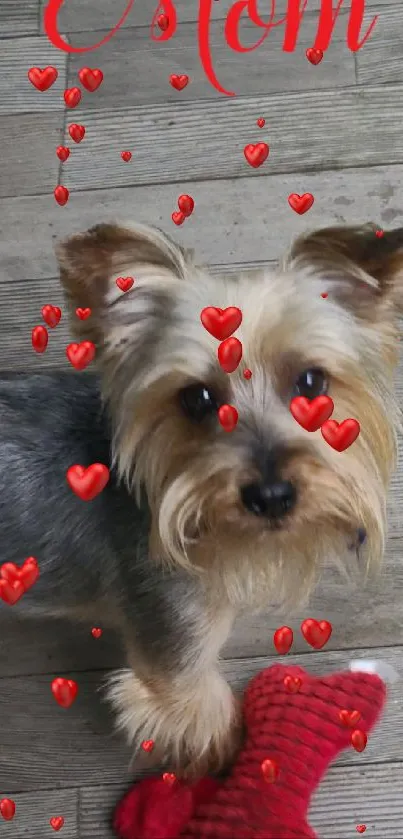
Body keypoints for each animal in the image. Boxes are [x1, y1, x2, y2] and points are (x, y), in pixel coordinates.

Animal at [0, 220, 402, 776]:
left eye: (311, 380)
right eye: (197, 398)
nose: (271, 496)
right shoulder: (175, 642)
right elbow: (200, 709)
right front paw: (228, 758)